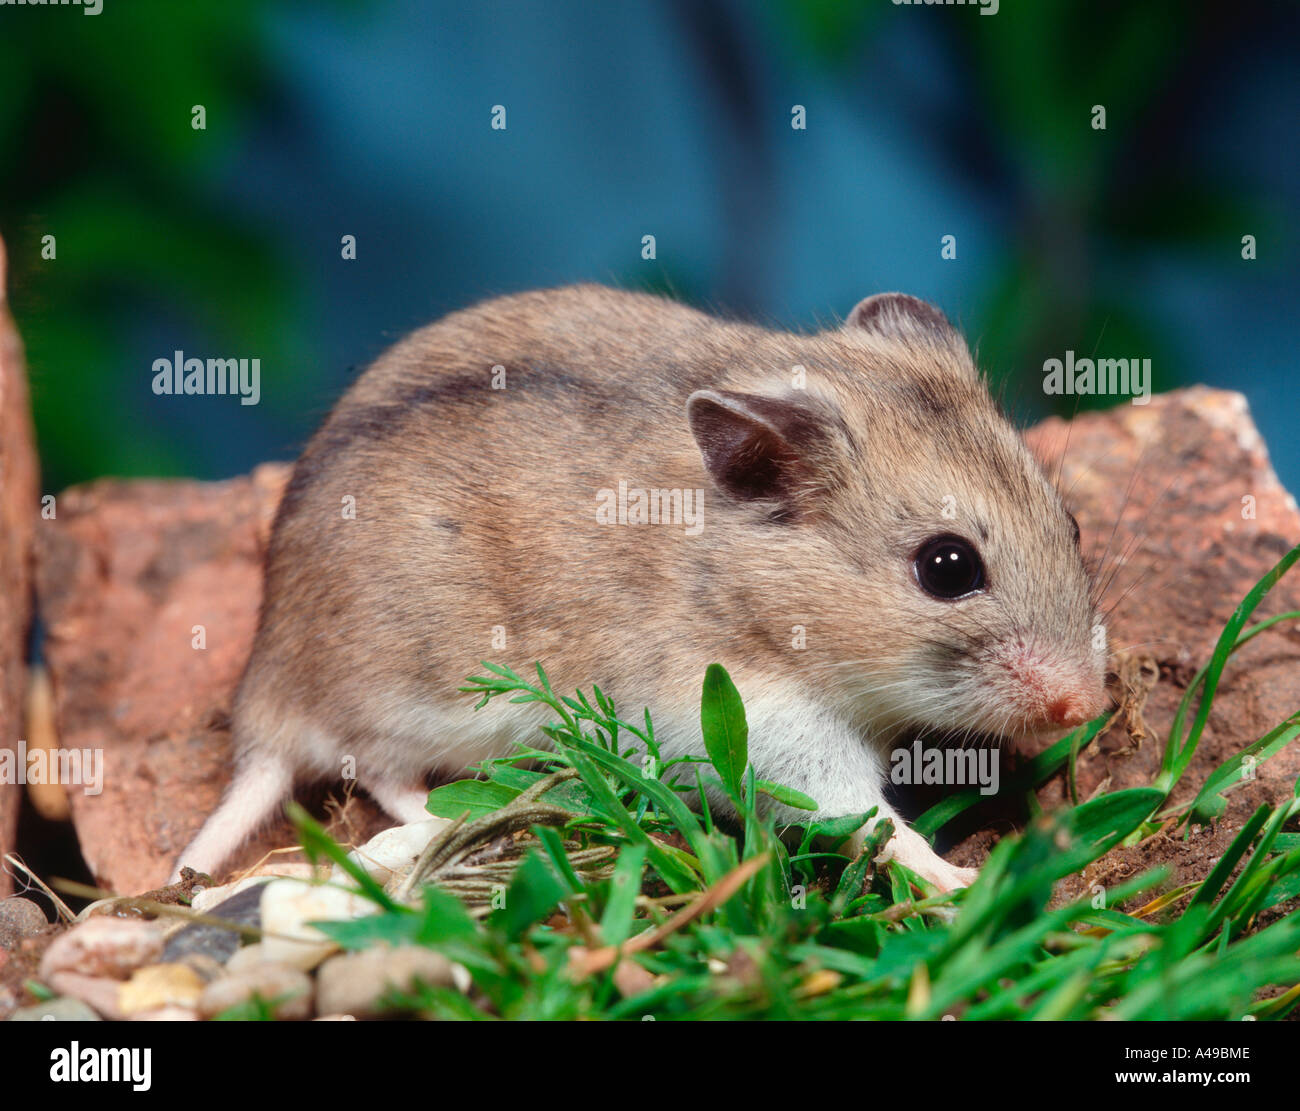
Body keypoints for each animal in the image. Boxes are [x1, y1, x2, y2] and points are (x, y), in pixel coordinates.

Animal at [171, 285, 1109, 891]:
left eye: (1071, 522)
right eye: (947, 567)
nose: (1086, 706)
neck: (744, 582)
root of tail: (263, 698)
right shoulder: (780, 735)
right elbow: (874, 824)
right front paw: (967, 882)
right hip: (407, 699)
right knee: (383, 775)